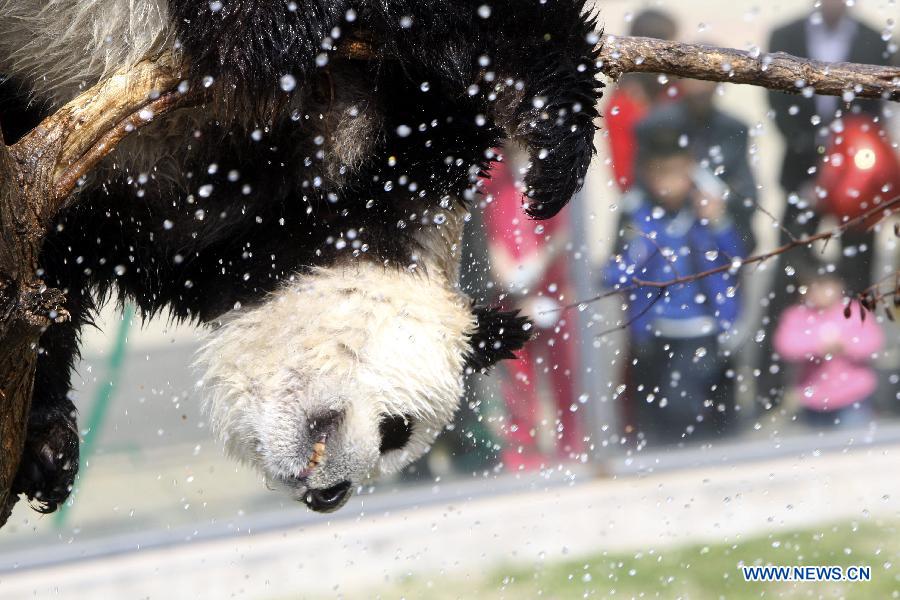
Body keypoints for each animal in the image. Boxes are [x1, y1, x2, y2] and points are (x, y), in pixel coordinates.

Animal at [1, 1, 604, 516]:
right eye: (397, 429)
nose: (331, 497)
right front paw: (556, 145)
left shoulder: (166, 229)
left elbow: (58, 269)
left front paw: (45, 444)